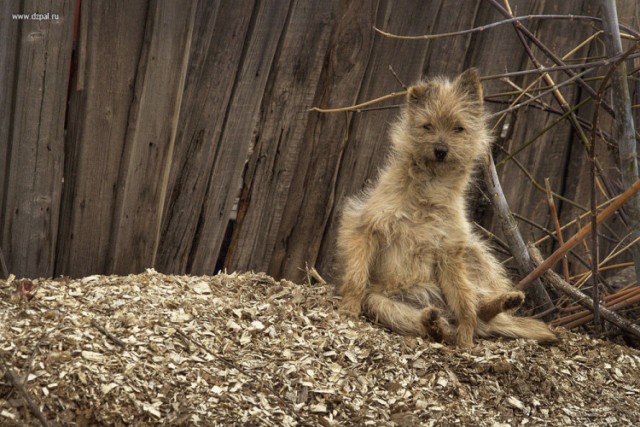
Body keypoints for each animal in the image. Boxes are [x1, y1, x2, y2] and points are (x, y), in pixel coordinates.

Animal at [338, 67, 556, 348]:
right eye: (427, 126)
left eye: (458, 128)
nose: (441, 150)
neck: (429, 191)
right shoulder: (366, 229)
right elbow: (356, 276)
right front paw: (348, 308)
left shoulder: (449, 253)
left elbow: (465, 302)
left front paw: (466, 337)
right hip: (383, 303)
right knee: (429, 324)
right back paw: (433, 321)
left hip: (471, 252)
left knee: (475, 307)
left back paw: (501, 303)